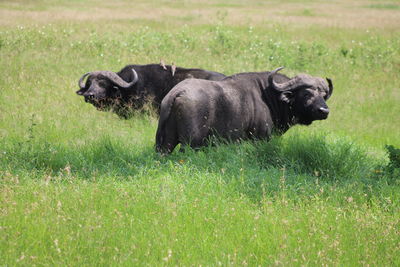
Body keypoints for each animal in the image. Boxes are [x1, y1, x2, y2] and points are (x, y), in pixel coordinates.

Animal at [155, 67, 332, 155]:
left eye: (323, 94)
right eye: (306, 93)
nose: (324, 110)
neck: (268, 95)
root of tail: (177, 93)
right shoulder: (260, 138)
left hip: (165, 143)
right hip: (191, 143)